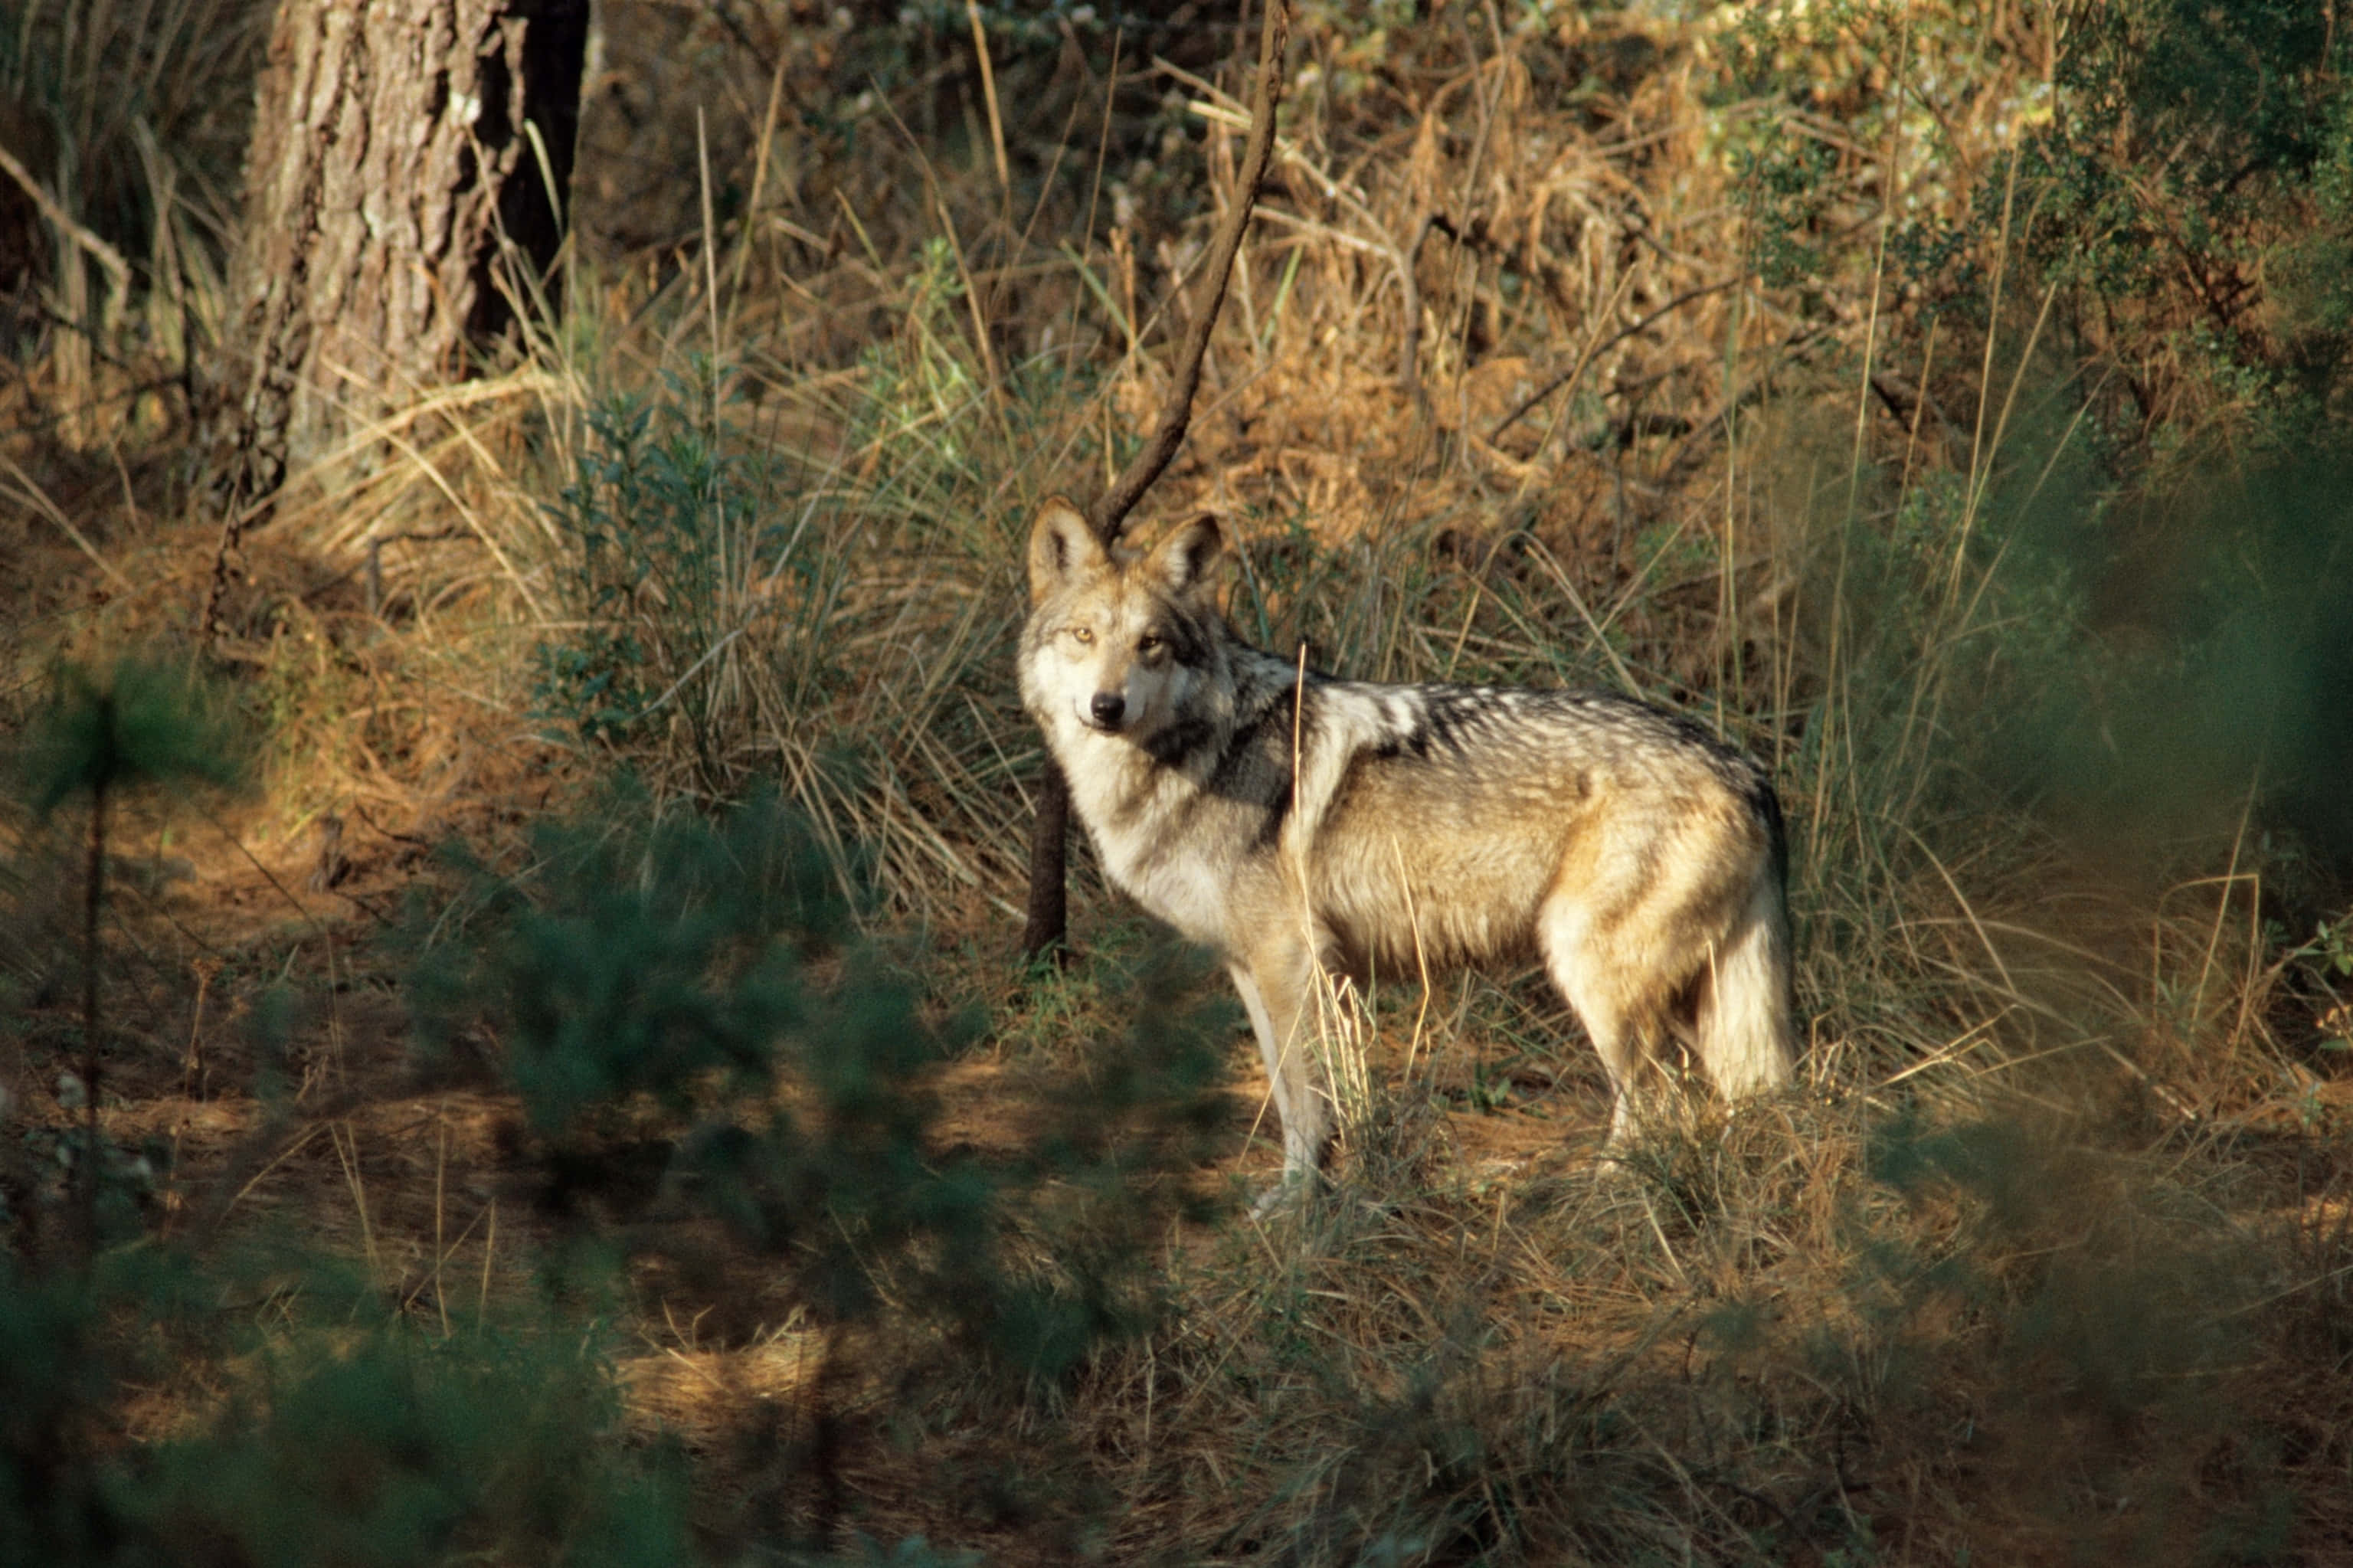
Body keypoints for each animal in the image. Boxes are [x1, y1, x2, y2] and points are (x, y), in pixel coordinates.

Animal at [1020, 498, 1796, 1188]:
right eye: (1083, 636)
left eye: (1150, 643)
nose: (1107, 707)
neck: (1202, 750)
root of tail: (1747, 769)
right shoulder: (1252, 966)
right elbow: (1287, 1094)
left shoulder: (1291, 959)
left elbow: (1308, 1101)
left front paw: (1304, 1206)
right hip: (1689, 999)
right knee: (1733, 1095)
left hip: (1592, 973)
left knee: (1663, 1103)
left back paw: (1605, 1197)